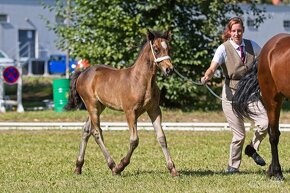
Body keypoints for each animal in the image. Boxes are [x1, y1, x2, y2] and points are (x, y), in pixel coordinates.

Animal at [65, 29, 178, 176]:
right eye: (156, 49)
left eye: (169, 49)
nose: (169, 70)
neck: (141, 80)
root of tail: (82, 73)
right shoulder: (130, 112)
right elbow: (134, 140)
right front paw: (121, 166)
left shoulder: (154, 110)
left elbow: (161, 138)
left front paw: (172, 169)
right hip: (91, 105)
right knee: (96, 132)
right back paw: (113, 166)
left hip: (99, 106)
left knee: (86, 130)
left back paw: (78, 167)